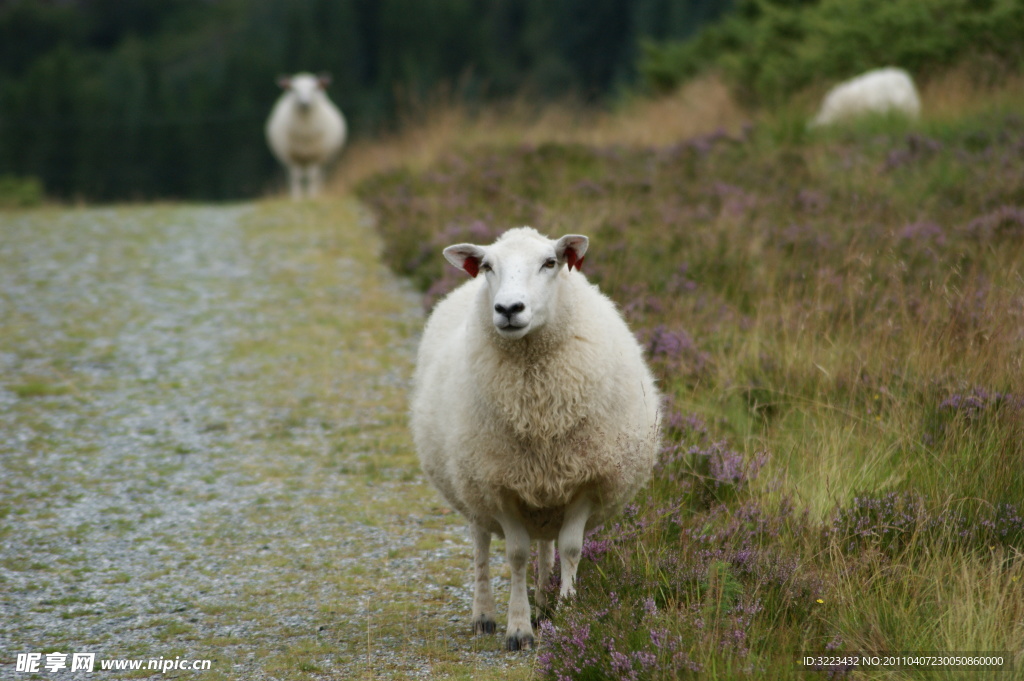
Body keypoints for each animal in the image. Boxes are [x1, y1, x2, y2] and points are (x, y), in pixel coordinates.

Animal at [409, 227, 659, 647]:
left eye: (550, 262)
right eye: (488, 266)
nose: (509, 309)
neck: (538, 403)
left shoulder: (585, 480)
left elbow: (570, 548)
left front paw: (569, 613)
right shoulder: (501, 487)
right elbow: (516, 556)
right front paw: (518, 628)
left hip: (544, 494)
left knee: (546, 544)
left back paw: (544, 605)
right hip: (471, 481)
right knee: (481, 544)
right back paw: (484, 615)